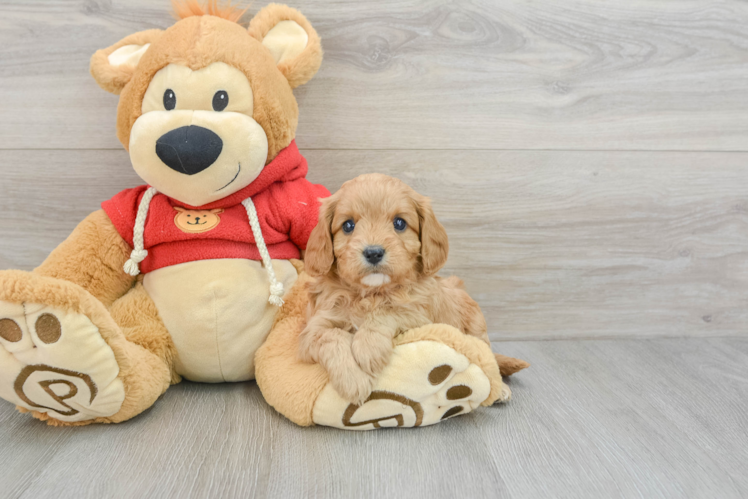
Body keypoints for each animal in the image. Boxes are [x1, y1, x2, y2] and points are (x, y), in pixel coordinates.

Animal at [296, 174, 496, 404]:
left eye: (399, 223)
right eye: (348, 225)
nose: (373, 253)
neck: (370, 293)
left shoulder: (420, 317)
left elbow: (389, 310)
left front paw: (367, 348)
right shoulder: (312, 331)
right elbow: (332, 337)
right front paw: (353, 379)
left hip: (477, 329)